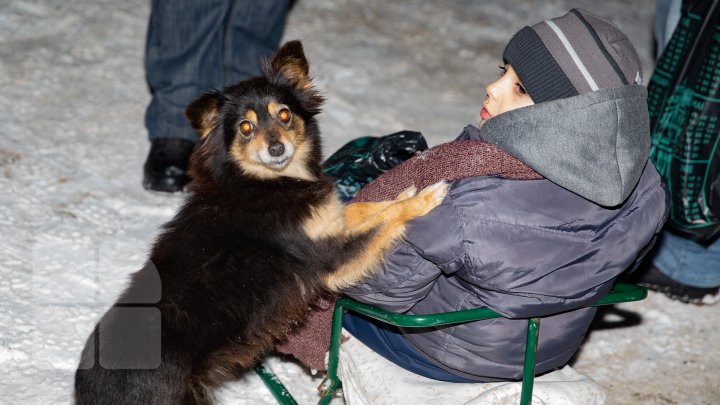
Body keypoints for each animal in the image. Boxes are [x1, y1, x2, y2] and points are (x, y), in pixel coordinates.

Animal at [73, 39, 444, 402]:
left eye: (284, 114)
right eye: (246, 128)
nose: (277, 149)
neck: (261, 183)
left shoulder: (325, 225)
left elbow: (365, 209)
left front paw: (402, 193)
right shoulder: (332, 260)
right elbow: (384, 221)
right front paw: (426, 197)